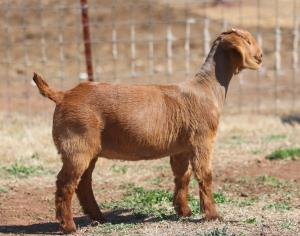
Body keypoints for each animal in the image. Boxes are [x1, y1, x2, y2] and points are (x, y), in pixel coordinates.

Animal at [32, 28, 262, 233]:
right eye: (248, 41)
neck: (207, 88)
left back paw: (98, 217)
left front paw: (184, 211)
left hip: (89, 149)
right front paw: (213, 215)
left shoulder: (181, 147)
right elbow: (205, 175)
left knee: (83, 183)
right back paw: (68, 226)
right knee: (65, 184)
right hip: (77, 144)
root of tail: (63, 95)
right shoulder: (202, 139)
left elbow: (182, 176)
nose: (261, 56)